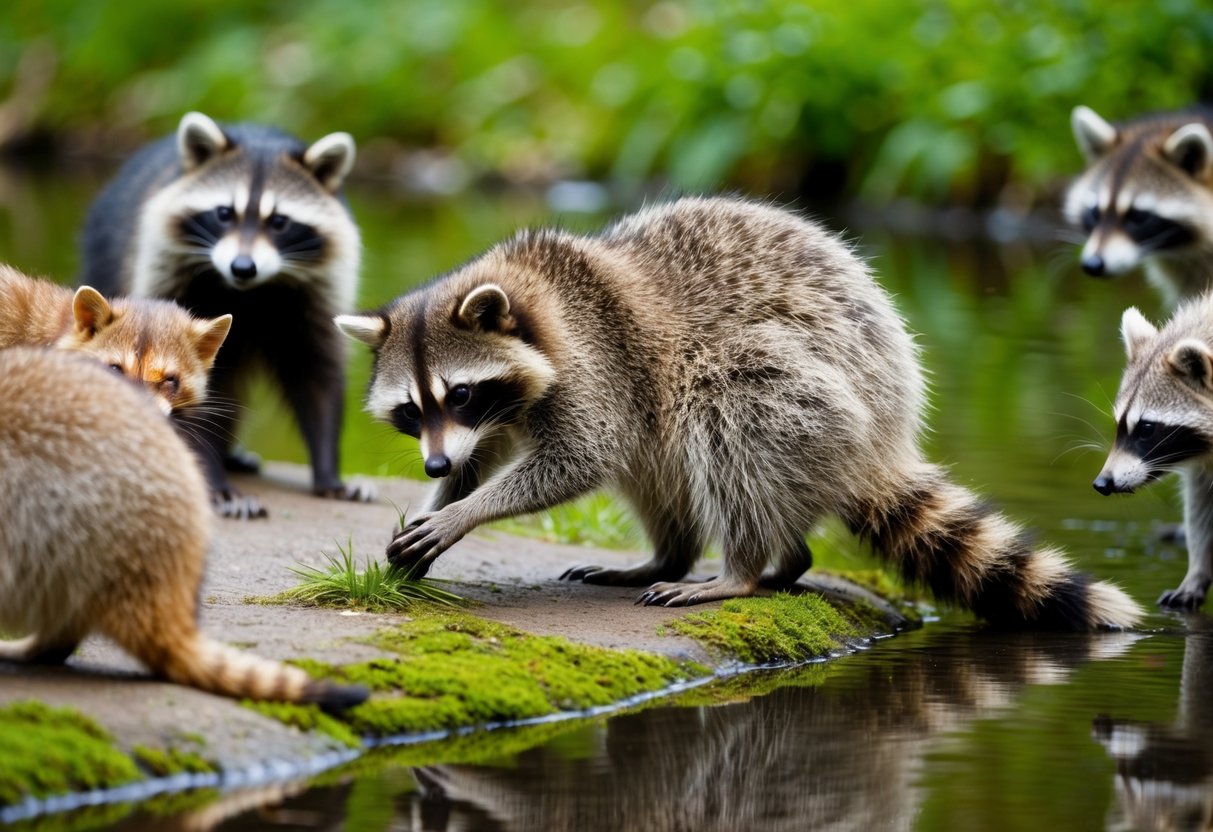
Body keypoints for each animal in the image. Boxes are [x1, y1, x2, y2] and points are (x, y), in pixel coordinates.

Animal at [81, 111, 368, 518]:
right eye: (223, 214)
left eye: (279, 222)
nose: (243, 267)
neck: (249, 292)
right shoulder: (164, 274)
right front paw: (212, 478)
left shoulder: (317, 294)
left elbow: (317, 372)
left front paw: (329, 470)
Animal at [337, 196, 1141, 630]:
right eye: (412, 411)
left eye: (460, 393)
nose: (433, 464)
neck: (538, 295)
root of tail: (887, 438)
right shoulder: (511, 408)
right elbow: (493, 454)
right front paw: (441, 499)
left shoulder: (600, 363)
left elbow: (581, 457)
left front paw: (463, 511)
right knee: (659, 470)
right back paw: (677, 554)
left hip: (809, 401)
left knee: (728, 410)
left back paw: (745, 568)